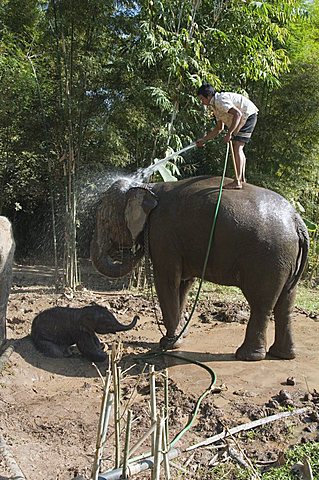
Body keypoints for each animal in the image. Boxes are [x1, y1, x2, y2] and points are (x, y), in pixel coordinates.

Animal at [90, 175, 310, 360]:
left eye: (105, 221)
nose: (136, 247)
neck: (148, 186)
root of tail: (297, 220)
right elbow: (183, 284)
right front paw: (180, 334)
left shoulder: (162, 233)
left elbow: (167, 280)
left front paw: (168, 344)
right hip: (287, 260)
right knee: (285, 303)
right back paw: (283, 355)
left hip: (267, 258)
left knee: (261, 303)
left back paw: (247, 356)